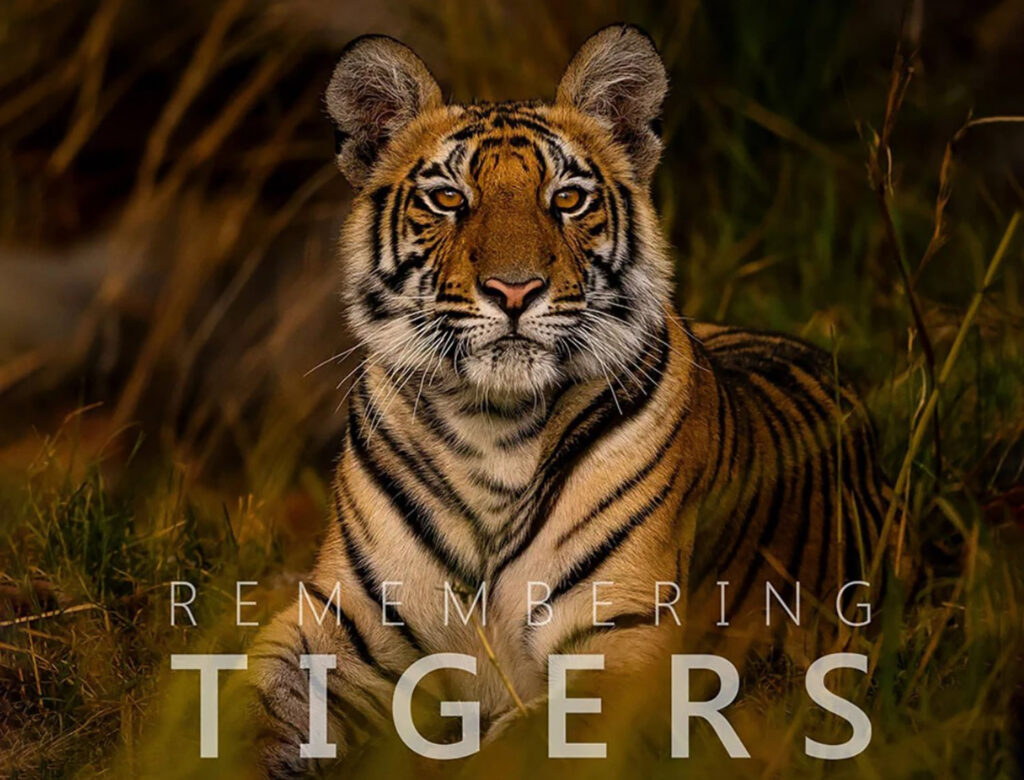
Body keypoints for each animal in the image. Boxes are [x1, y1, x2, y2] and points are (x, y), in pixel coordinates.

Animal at [248, 24, 886, 776]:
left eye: (568, 199)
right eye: (448, 200)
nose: (515, 290)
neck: (490, 426)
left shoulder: (622, 647)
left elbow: (507, 752)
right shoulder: (338, 622)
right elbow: (252, 711)